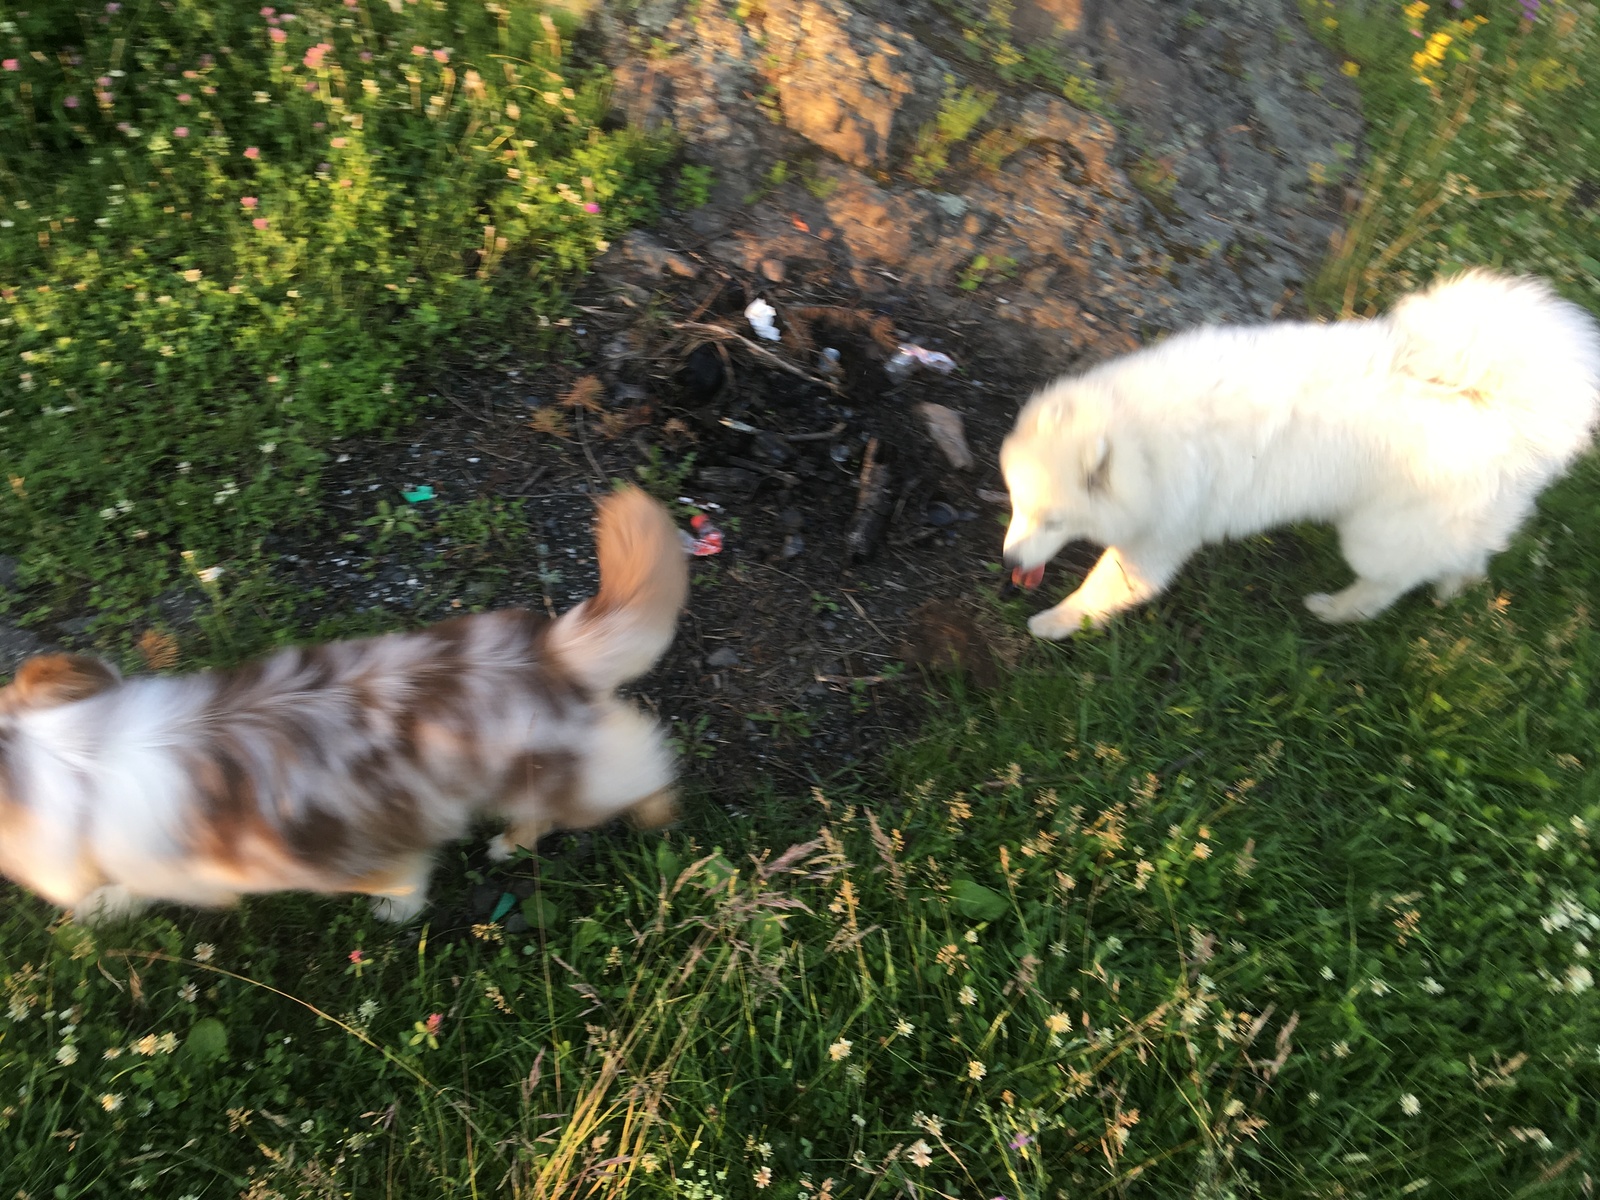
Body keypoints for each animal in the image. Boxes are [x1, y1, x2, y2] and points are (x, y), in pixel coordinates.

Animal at [0, 483, 684, 928]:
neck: (85, 757)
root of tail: (555, 650)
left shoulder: (335, 857)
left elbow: (400, 877)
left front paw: (395, 910)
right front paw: (104, 906)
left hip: (574, 777)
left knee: (640, 777)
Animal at [1004, 268, 1593, 640]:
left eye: (1055, 521)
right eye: (1016, 506)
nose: (1009, 562)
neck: (1142, 438)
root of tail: (1503, 402)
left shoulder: (1161, 538)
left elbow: (1104, 590)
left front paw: (1054, 622)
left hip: (1377, 534)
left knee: (1386, 584)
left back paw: (1334, 610)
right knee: (1464, 555)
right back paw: (1454, 587)